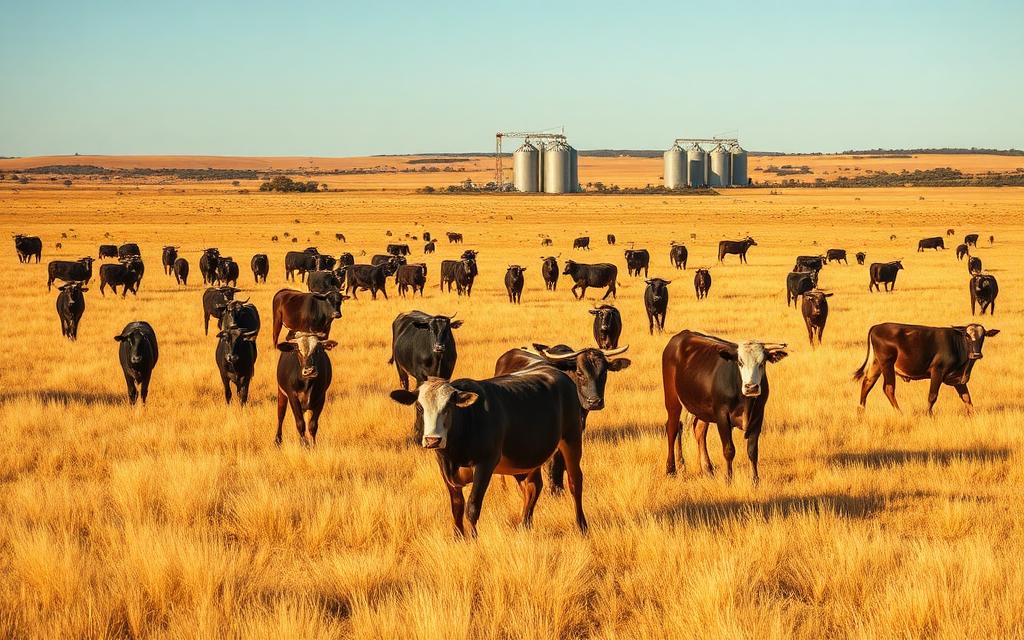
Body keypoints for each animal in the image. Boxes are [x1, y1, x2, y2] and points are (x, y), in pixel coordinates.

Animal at [390, 368, 589, 537]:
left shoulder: (485, 464)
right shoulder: (444, 468)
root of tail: (558, 373)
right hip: (527, 457)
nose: (433, 440)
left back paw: (581, 526)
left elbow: (472, 506)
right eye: (419, 407)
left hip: (572, 439)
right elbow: (457, 506)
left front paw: (473, 538)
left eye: (448, 407)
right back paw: (524, 526)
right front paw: (458, 537)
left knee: (575, 482)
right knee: (533, 487)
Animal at [662, 330, 788, 484]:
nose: (751, 387)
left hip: (702, 408)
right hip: (672, 399)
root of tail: (681, 335)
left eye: (762, 362)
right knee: (672, 428)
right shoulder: (722, 416)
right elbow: (729, 450)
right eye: (740, 362)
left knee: (699, 431)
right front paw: (728, 479)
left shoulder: (758, 416)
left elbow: (752, 451)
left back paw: (707, 469)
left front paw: (755, 480)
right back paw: (671, 469)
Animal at [853, 322, 999, 414]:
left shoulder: (958, 380)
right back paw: (899, 413)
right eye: (967, 336)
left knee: (867, 383)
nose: (976, 354)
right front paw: (928, 414)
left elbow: (967, 398)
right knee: (888, 388)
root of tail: (876, 327)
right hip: (887, 365)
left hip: (876, 365)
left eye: (983, 336)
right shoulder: (937, 372)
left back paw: (861, 411)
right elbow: (932, 396)